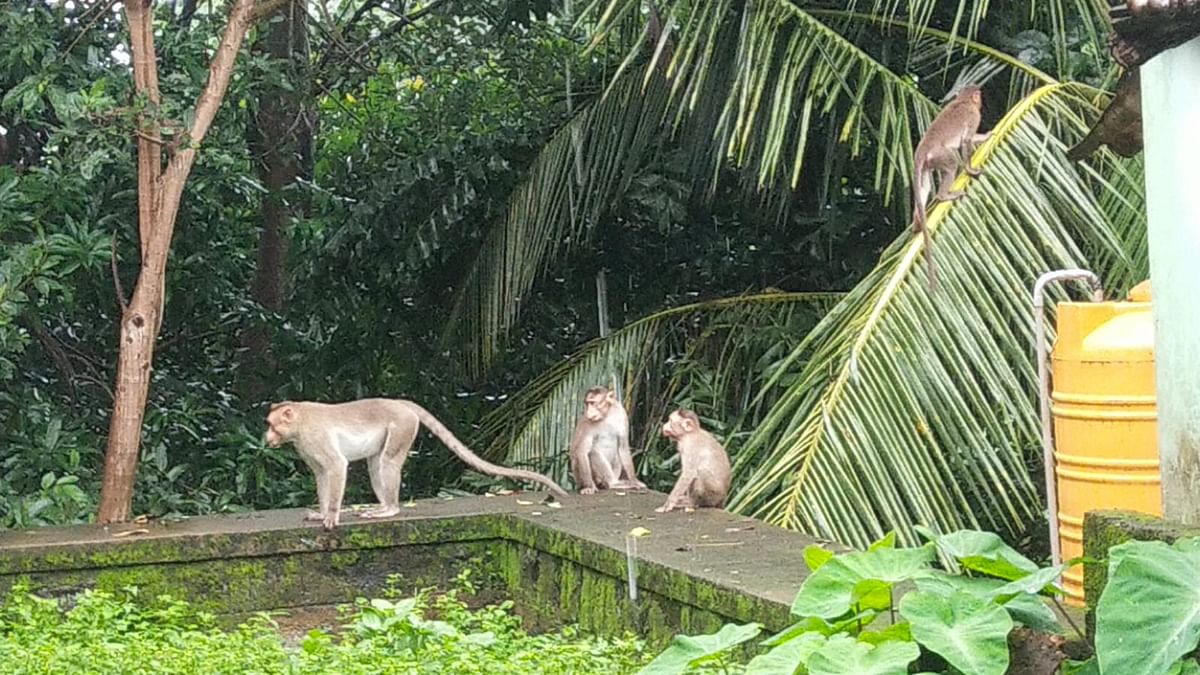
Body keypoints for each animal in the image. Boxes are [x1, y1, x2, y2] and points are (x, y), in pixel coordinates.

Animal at [266, 396, 571, 528]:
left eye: (271, 424)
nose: (267, 437)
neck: (300, 423)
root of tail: (400, 403)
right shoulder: (306, 446)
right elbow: (321, 474)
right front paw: (320, 513)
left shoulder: (315, 437)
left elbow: (336, 466)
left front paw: (331, 515)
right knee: (377, 464)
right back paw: (383, 506)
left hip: (402, 426)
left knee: (387, 463)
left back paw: (389, 509)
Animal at [907, 82, 993, 288]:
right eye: (979, 96)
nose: (981, 101)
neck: (962, 100)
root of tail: (922, 148)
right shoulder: (973, 114)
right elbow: (966, 141)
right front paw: (970, 169)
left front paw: (986, 136)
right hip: (939, 155)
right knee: (952, 162)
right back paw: (943, 196)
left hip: (928, 164)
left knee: (924, 188)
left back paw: (918, 223)